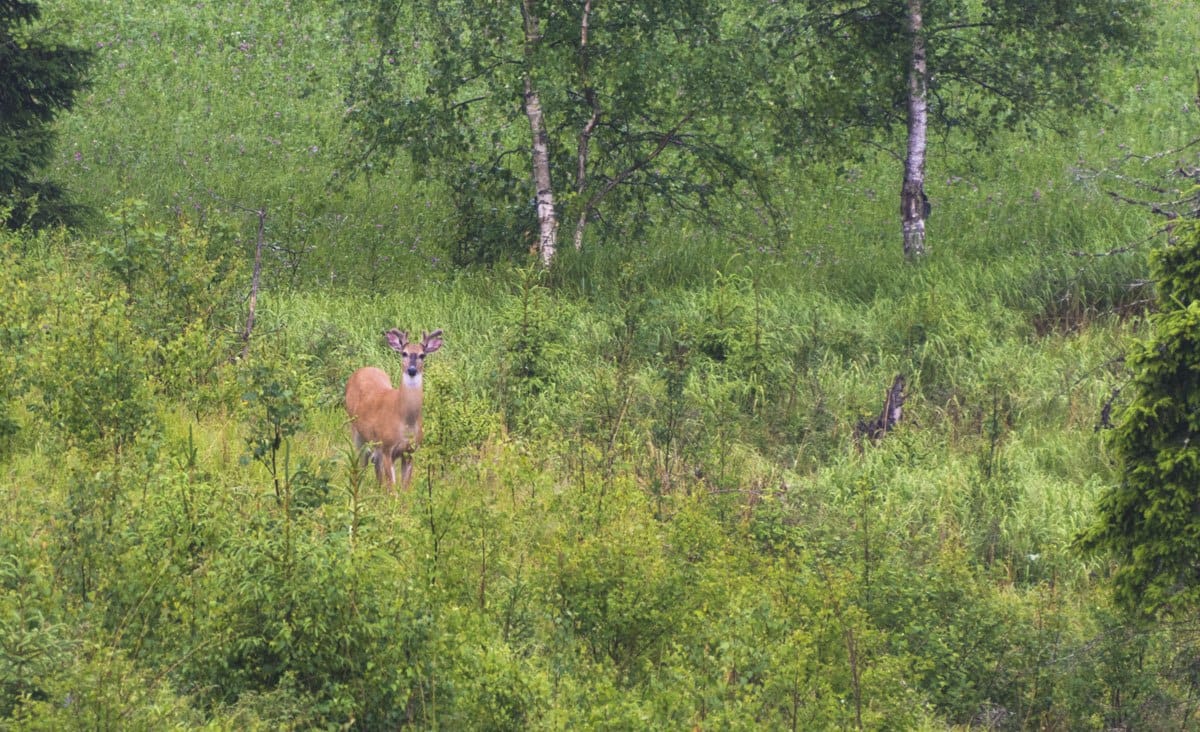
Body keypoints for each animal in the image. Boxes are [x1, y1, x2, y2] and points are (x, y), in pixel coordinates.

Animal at [345, 326, 444, 489]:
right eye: (404, 353)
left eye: (422, 355)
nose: (411, 370)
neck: (404, 420)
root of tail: (362, 369)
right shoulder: (387, 447)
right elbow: (392, 488)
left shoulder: (410, 451)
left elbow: (405, 488)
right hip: (355, 429)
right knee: (361, 460)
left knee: (373, 462)